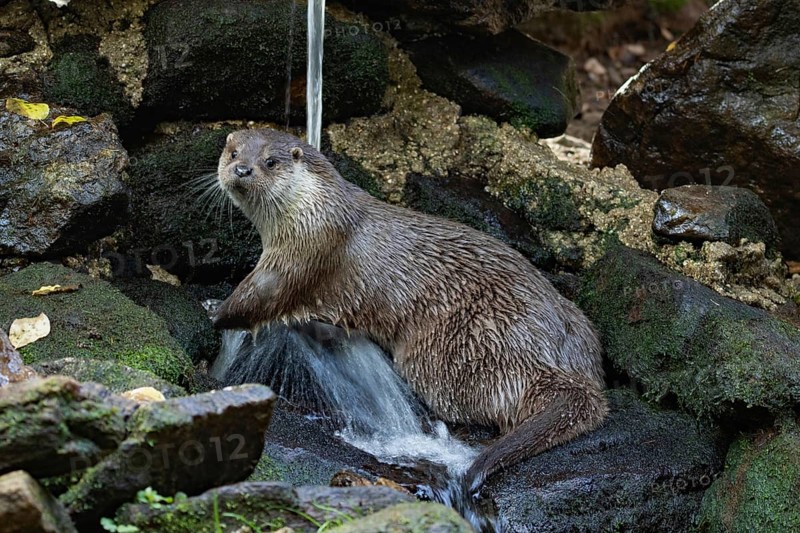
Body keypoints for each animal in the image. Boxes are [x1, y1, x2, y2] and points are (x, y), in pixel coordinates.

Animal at [213, 129, 608, 490]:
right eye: (233, 153)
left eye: (270, 162)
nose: (243, 169)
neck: (316, 211)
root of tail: (561, 367)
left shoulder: (300, 255)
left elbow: (258, 297)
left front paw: (216, 313)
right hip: (578, 323)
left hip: (459, 346)